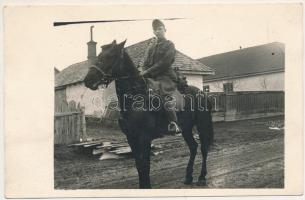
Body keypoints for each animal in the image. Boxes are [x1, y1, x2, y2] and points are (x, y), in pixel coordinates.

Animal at [83, 39, 214, 188]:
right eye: (99, 55)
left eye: (110, 56)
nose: (88, 80)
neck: (135, 97)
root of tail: (201, 92)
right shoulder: (131, 138)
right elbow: (139, 165)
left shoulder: (144, 137)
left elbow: (145, 164)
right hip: (186, 128)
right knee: (193, 147)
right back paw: (188, 177)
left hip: (202, 124)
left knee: (203, 148)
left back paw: (202, 177)